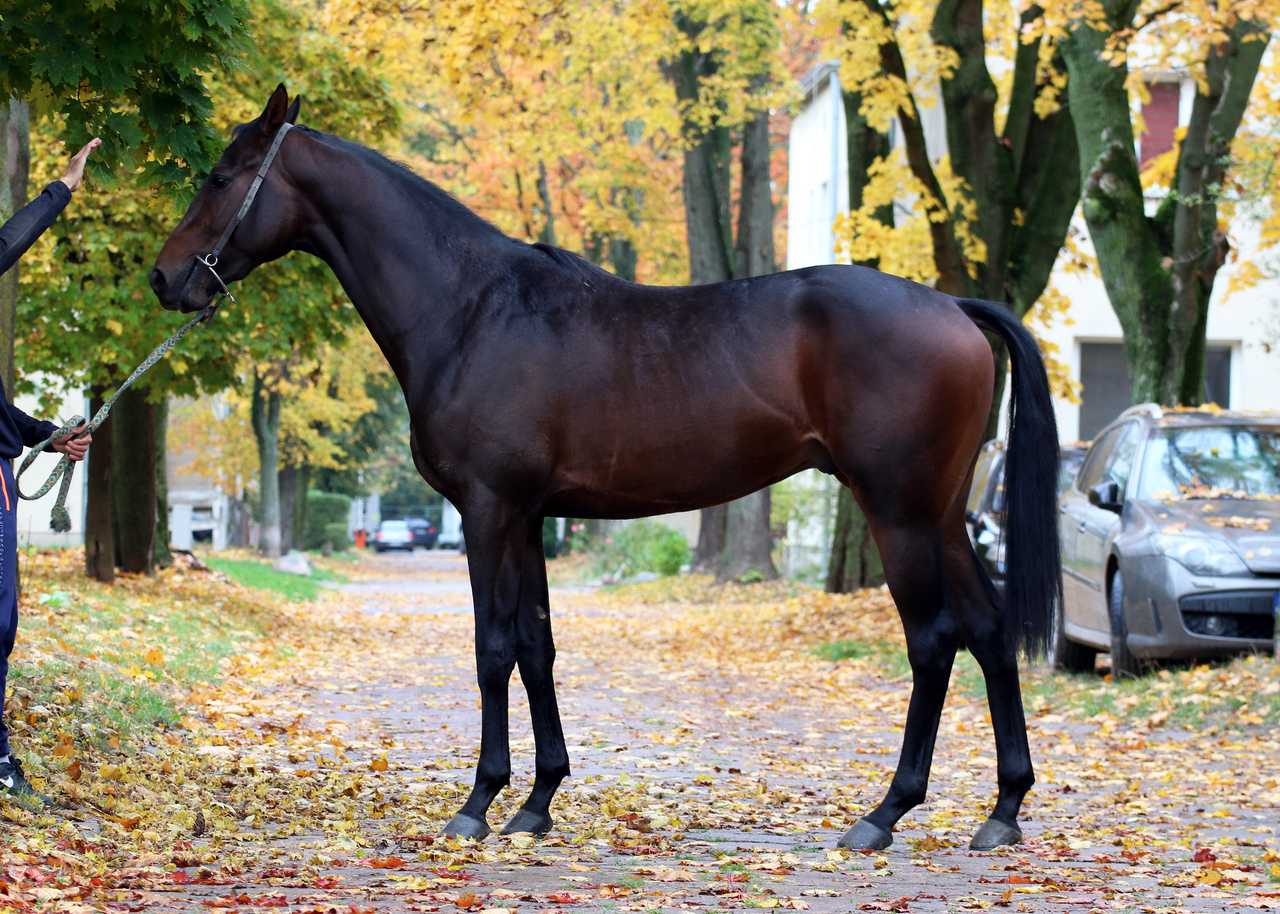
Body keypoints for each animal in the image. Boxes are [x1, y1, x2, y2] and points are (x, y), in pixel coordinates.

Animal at [151, 85, 1061, 852]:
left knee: (934, 641)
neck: (472, 308)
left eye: (222, 175)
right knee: (990, 632)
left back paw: (884, 814)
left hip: (898, 513)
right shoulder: (527, 515)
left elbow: (491, 647)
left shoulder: (488, 509)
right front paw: (537, 802)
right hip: (941, 515)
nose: (165, 279)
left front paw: (477, 805)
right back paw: (1003, 810)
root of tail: (951, 306)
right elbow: (537, 646)